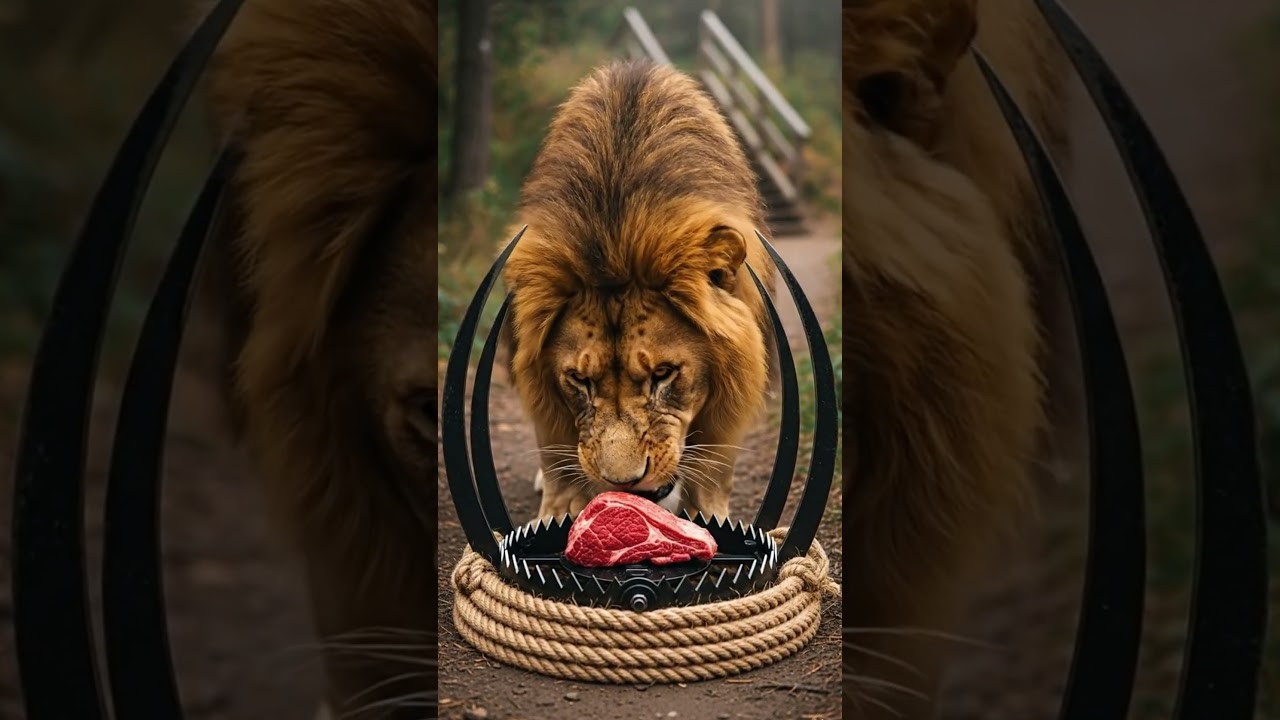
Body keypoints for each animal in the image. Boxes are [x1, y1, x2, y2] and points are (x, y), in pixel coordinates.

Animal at [499, 59, 778, 522]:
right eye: (579, 379)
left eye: (663, 374)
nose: (625, 483)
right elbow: (554, 458)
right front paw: (553, 513)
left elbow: (715, 469)